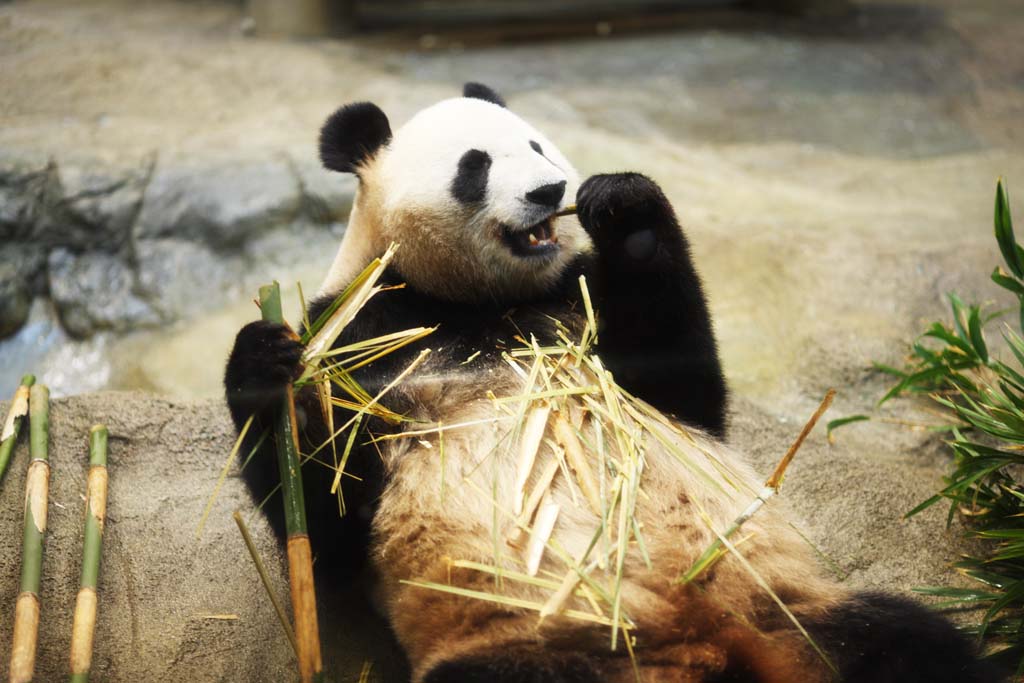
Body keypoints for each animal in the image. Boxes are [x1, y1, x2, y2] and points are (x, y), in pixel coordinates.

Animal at [224, 82, 999, 679]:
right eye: (475, 165)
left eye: (537, 146)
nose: (550, 191)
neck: (476, 302)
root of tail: (711, 646)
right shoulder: (361, 334)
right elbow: (327, 516)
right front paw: (263, 363)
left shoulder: (577, 299)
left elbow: (684, 390)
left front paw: (626, 208)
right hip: (538, 643)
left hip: (795, 615)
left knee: (911, 642)